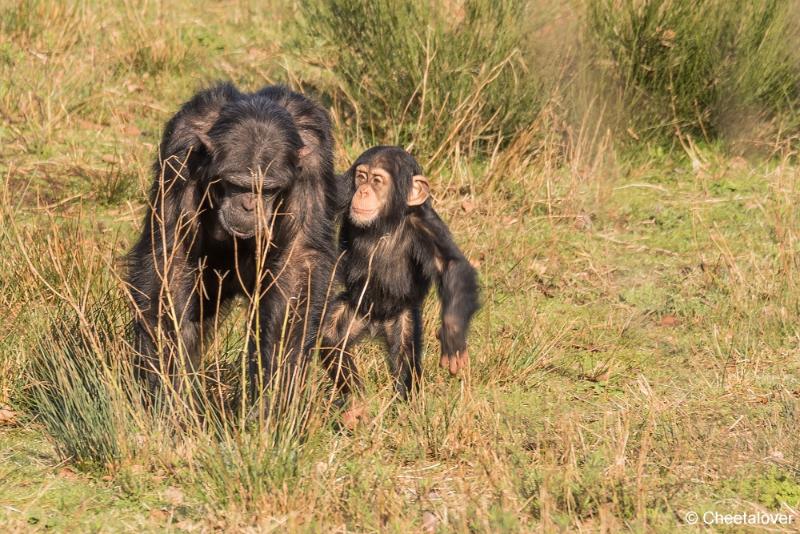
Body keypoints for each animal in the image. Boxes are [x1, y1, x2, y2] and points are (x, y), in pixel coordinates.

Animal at [127, 82, 338, 406]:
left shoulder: (313, 161)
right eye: (238, 184)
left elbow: (296, 266)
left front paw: (275, 393)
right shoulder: (181, 151)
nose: (249, 205)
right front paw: (168, 390)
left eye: (268, 189)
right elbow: (174, 258)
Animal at [318, 146, 478, 428]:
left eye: (377, 181)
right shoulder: (341, 194)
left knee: (405, 358)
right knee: (331, 338)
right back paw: (355, 403)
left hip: (402, 317)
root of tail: (374, 326)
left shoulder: (426, 226)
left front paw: (453, 334)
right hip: (355, 309)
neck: (385, 222)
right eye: (361, 177)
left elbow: (450, 265)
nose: (363, 191)